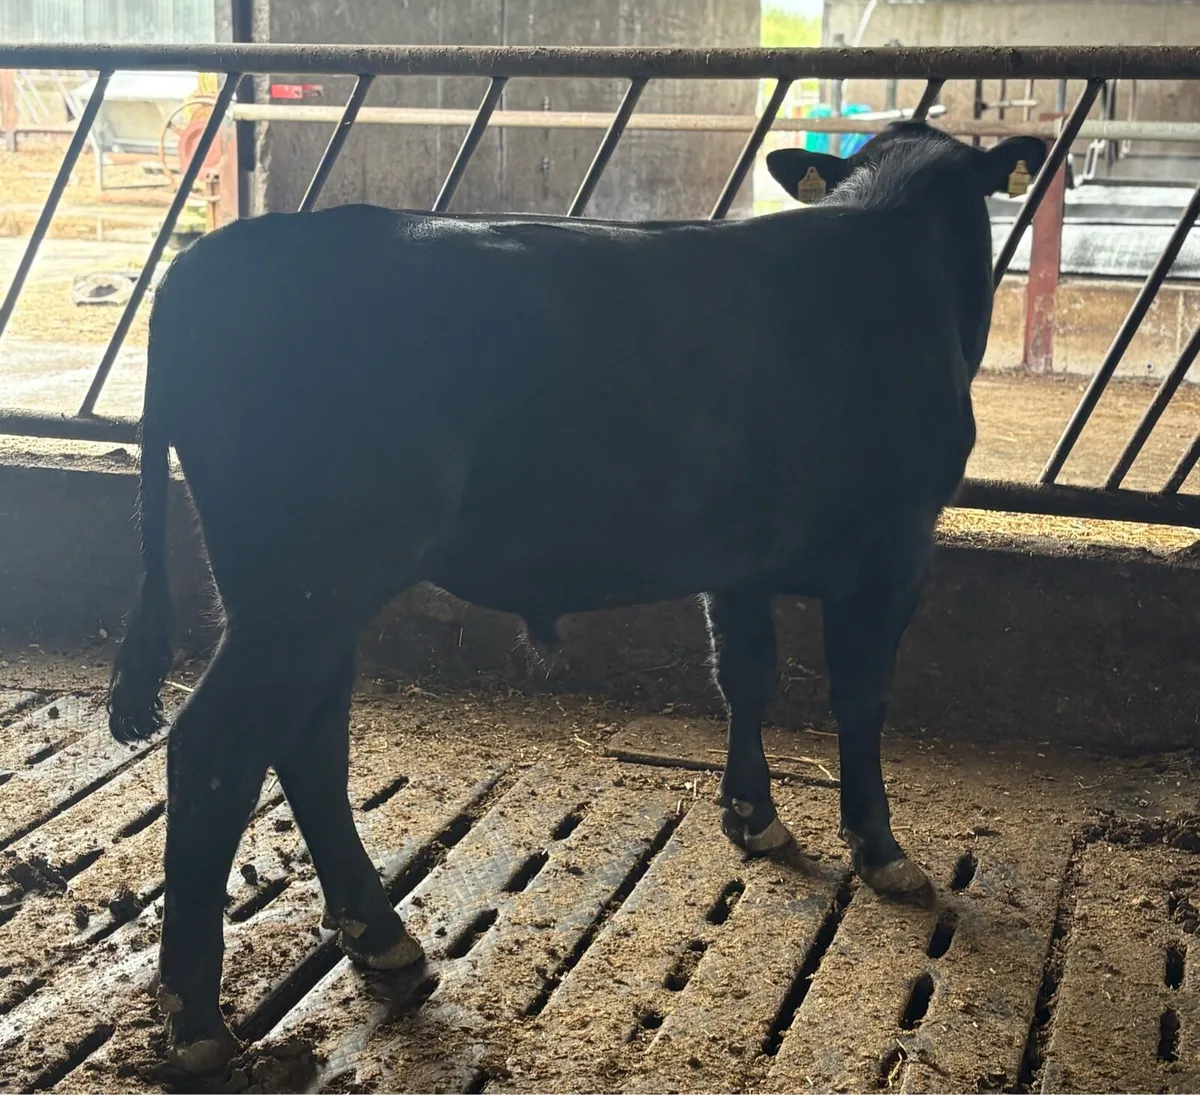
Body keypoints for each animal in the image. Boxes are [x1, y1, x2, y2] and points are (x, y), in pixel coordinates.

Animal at [108, 120, 1047, 1072]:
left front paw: (753, 816)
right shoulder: (896, 546)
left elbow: (745, 674)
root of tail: (219, 256)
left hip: (306, 598)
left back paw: (381, 937)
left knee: (307, 743)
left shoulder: (736, 553)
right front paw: (881, 849)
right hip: (303, 590)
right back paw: (196, 1022)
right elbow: (860, 699)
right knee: (216, 750)